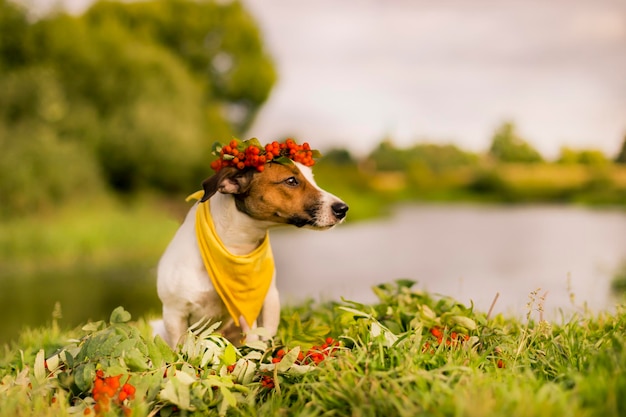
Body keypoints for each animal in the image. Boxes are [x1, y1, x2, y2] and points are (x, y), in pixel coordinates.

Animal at [152, 158, 346, 346]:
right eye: (291, 181)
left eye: (311, 178)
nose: (343, 208)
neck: (236, 248)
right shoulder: (174, 314)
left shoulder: (267, 303)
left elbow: (260, 339)